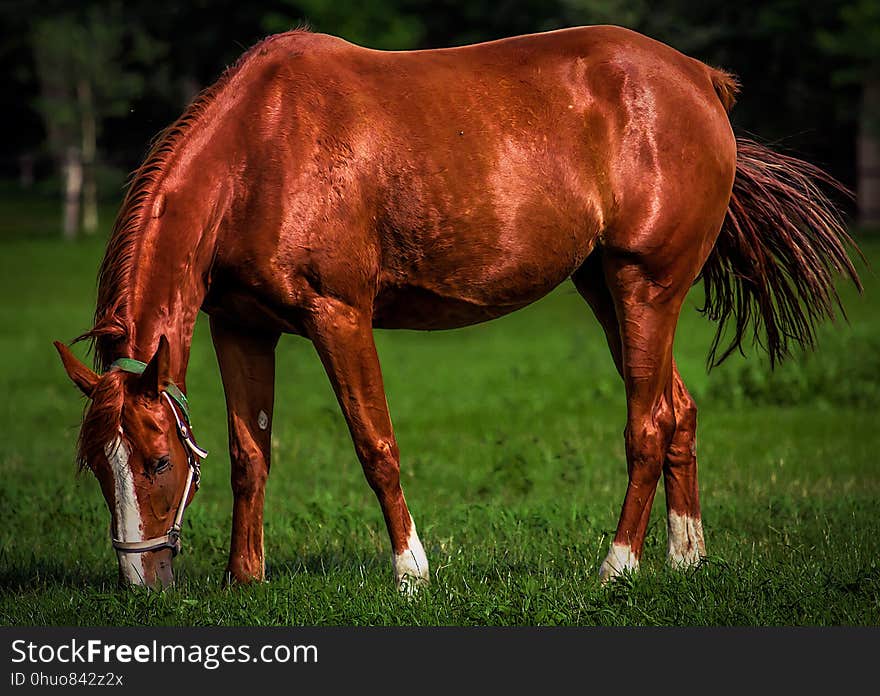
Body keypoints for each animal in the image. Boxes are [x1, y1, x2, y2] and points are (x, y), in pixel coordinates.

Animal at [53, 25, 860, 588]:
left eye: (157, 461)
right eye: (97, 464)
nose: (143, 581)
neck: (261, 150)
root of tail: (700, 80)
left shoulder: (338, 317)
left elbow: (375, 444)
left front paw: (411, 571)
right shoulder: (242, 326)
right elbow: (251, 453)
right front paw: (242, 579)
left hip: (645, 288)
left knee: (649, 423)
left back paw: (618, 566)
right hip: (606, 290)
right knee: (679, 409)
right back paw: (685, 557)